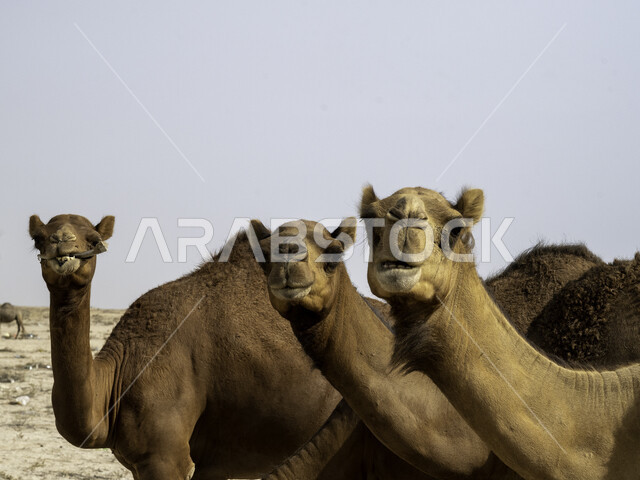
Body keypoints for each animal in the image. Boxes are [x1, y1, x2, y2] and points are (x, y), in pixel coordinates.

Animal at [29, 213, 363, 480]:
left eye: (94, 239)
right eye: (38, 239)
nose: (62, 244)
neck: (116, 377)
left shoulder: (165, 457)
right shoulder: (207, 464)